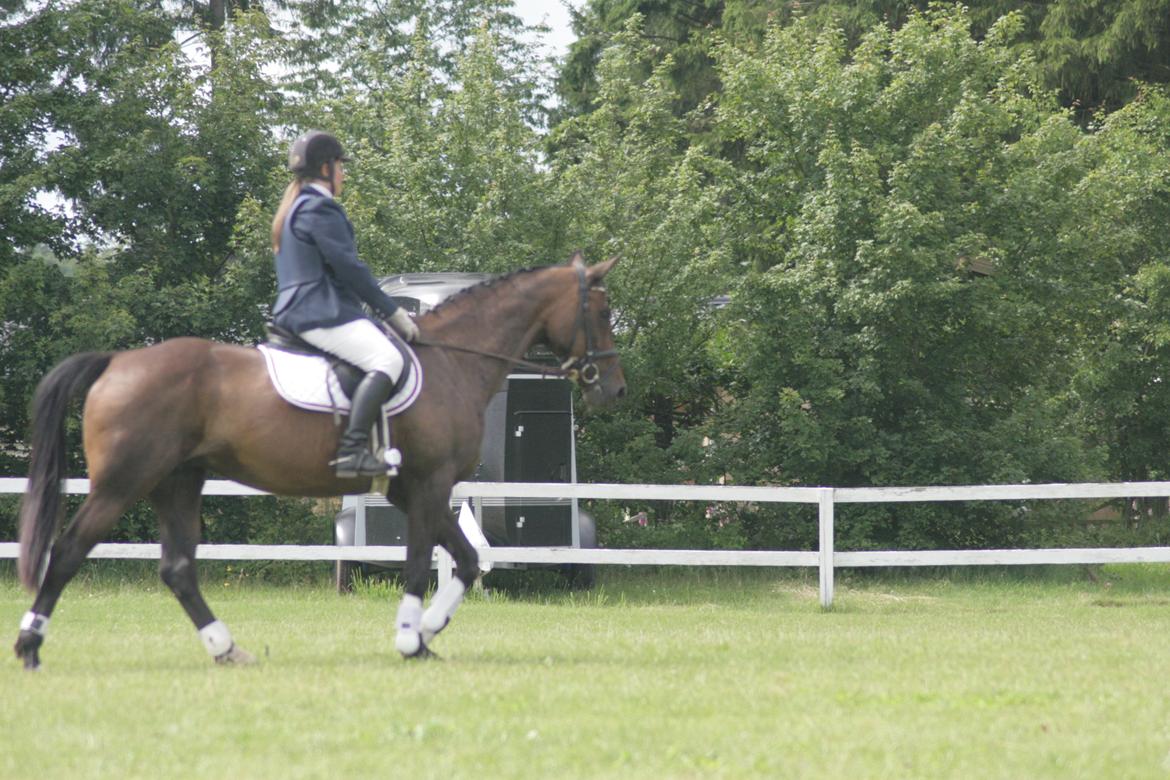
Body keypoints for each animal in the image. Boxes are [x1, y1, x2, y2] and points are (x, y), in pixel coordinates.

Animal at [13, 253, 627, 668]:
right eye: (602, 310)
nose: (614, 390)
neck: (454, 361)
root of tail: (117, 362)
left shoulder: (413, 490)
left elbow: (468, 561)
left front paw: (427, 633)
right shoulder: (428, 485)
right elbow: (420, 563)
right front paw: (411, 638)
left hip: (178, 483)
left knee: (178, 569)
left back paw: (226, 648)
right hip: (123, 482)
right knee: (67, 551)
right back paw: (29, 645)